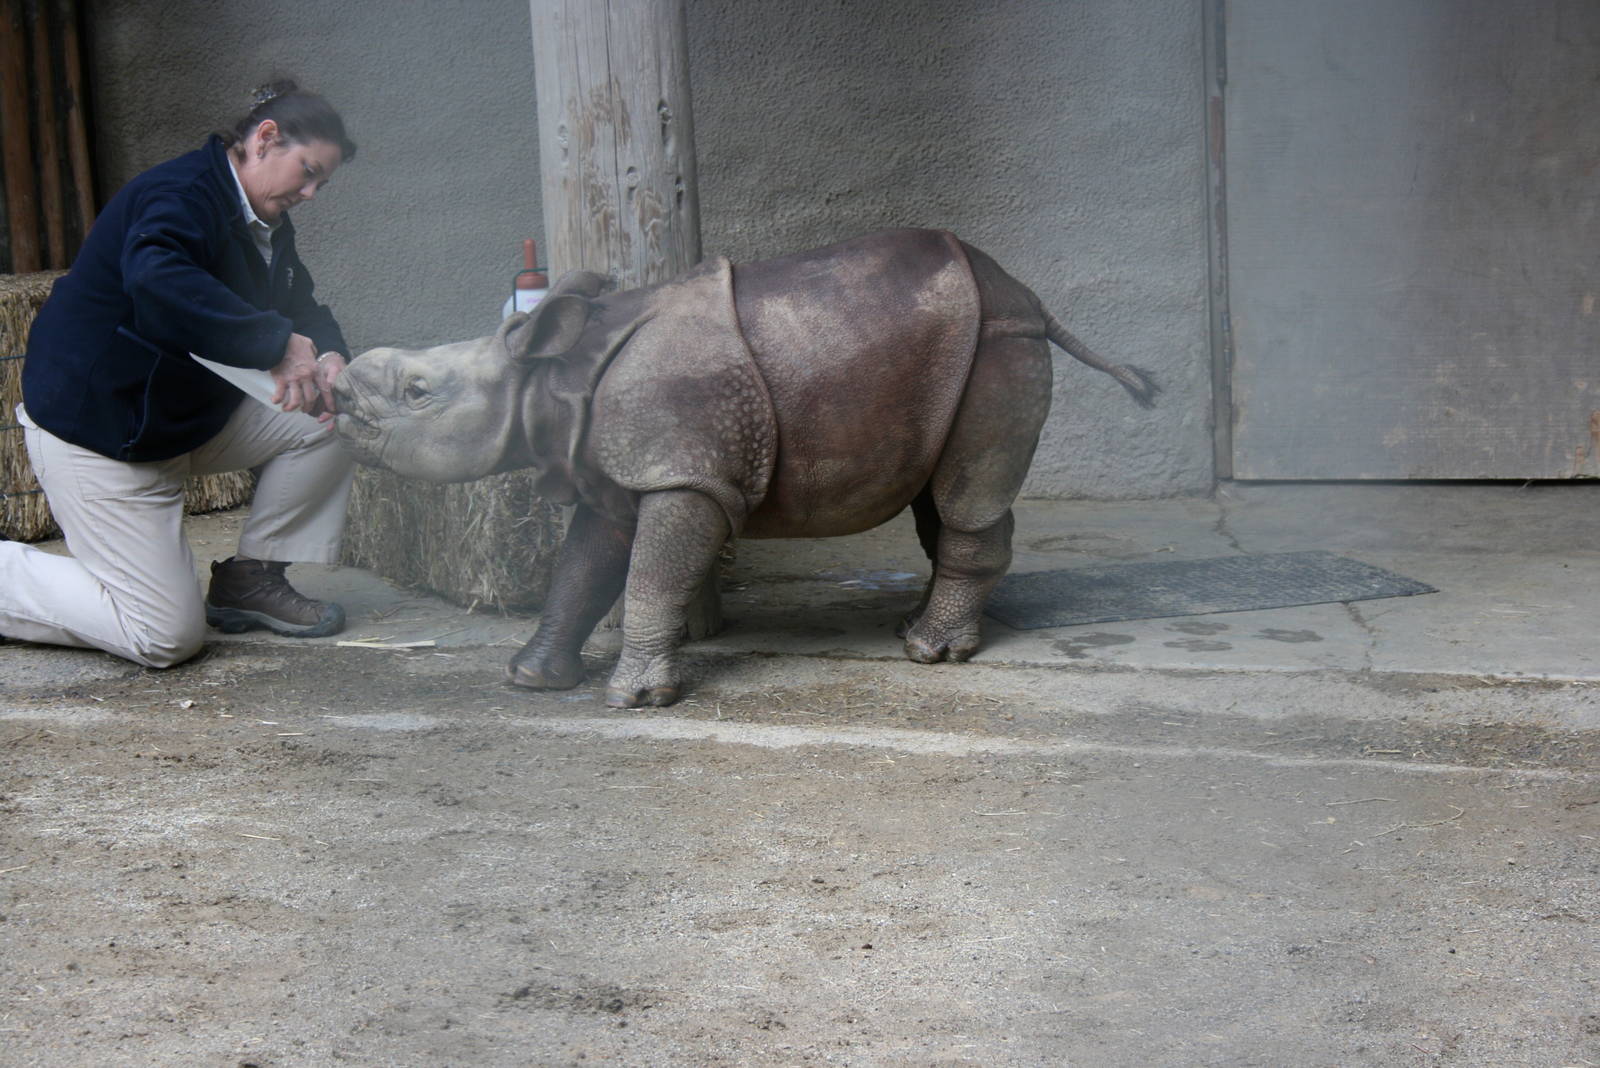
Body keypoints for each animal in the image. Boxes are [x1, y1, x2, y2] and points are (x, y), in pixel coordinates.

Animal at [333, 228, 1156, 707]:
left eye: (417, 392)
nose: (335, 390)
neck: (551, 377)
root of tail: (1028, 295)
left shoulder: (681, 469)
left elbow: (650, 574)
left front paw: (636, 701)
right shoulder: (621, 472)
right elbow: (583, 569)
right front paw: (531, 678)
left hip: (998, 341)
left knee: (964, 497)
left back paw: (930, 653)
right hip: (964, 352)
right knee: (938, 495)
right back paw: (914, 629)